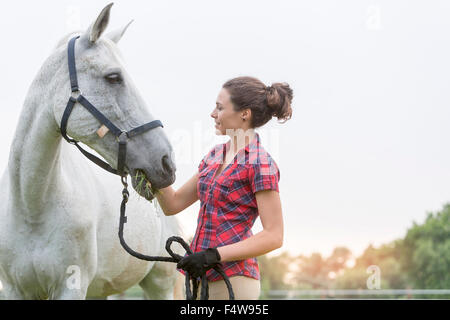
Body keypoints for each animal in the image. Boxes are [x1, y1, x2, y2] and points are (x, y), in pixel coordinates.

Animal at [0, 3, 185, 300]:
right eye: (113, 77)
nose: (166, 163)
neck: (31, 206)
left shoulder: (71, 287)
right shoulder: (13, 289)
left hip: (160, 283)